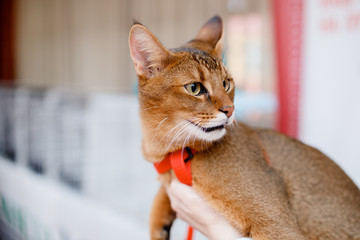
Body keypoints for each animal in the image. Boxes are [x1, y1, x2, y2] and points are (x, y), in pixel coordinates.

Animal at [129, 15, 360, 239]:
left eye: (226, 83)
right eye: (194, 88)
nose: (230, 110)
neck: (175, 155)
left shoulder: (279, 226)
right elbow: (161, 195)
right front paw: (159, 224)